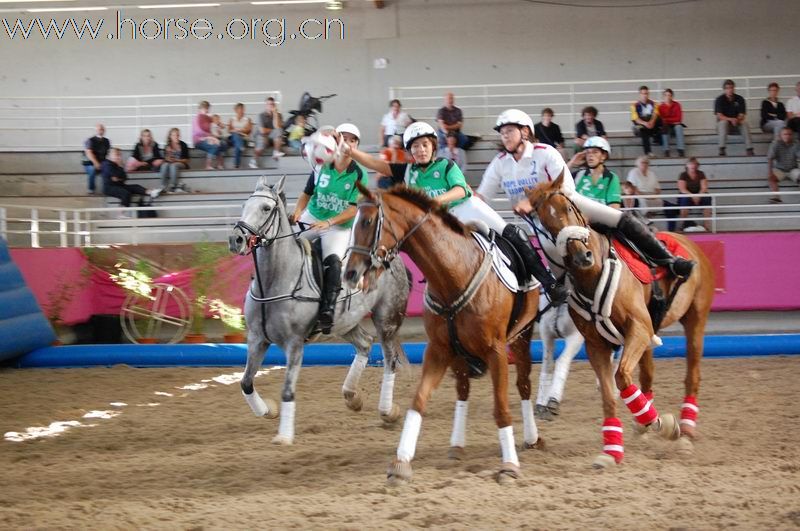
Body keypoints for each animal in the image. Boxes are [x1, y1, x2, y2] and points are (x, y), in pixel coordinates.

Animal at [227, 176, 410, 444]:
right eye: (243, 205)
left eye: (267, 209)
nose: (236, 240)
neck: (274, 280)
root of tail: (390, 255)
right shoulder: (257, 339)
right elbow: (246, 382)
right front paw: (269, 410)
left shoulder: (294, 343)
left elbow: (288, 391)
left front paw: (284, 436)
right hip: (343, 321)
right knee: (365, 343)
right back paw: (352, 397)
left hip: (386, 318)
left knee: (390, 359)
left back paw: (387, 411)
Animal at [340, 185, 540, 484]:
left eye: (367, 221)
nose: (351, 273)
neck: (452, 274)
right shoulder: (438, 349)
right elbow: (418, 401)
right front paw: (401, 463)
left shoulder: (496, 351)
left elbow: (501, 407)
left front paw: (509, 466)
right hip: (459, 356)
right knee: (463, 390)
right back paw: (457, 446)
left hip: (522, 337)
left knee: (524, 385)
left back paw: (532, 438)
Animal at [528, 177, 716, 468]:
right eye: (546, 225)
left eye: (568, 208)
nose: (582, 257)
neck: (592, 275)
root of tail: (690, 242)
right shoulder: (596, 344)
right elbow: (609, 393)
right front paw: (612, 450)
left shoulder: (637, 328)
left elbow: (622, 378)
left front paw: (664, 424)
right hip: (652, 331)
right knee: (648, 376)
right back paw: (646, 426)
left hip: (695, 319)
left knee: (692, 376)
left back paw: (685, 432)